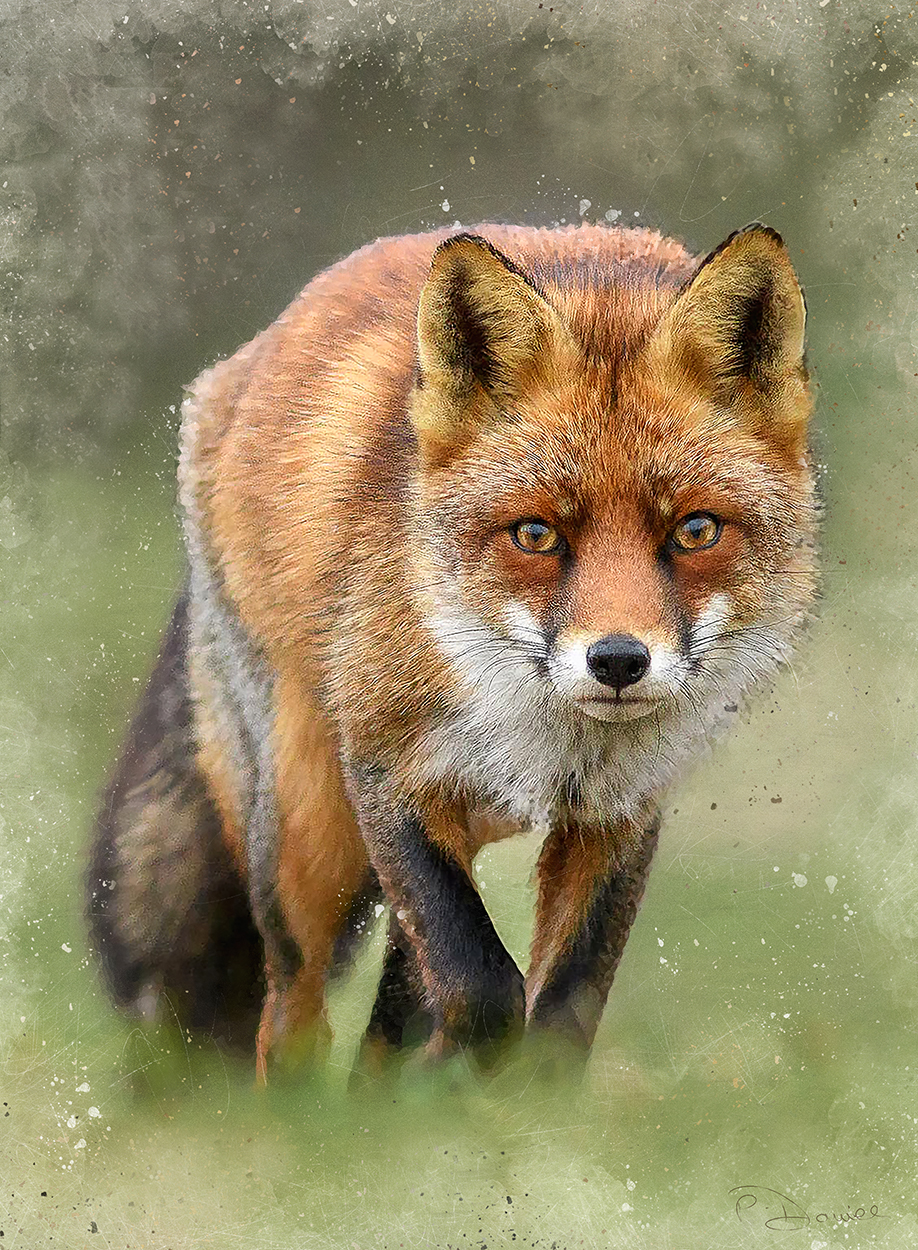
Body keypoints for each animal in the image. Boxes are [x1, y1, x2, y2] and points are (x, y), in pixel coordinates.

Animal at [88, 221, 818, 1080]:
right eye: (535, 534)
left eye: (695, 530)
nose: (617, 661)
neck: (553, 740)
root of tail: (233, 368)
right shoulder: (388, 773)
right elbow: (482, 988)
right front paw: (459, 1082)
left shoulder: (619, 813)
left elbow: (559, 1017)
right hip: (306, 836)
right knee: (293, 1015)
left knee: (386, 1016)